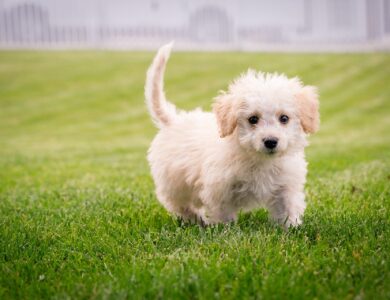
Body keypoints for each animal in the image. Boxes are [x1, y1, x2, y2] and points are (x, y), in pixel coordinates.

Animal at [145, 42, 318, 227]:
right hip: (174, 183)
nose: (271, 141)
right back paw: (197, 219)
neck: (259, 159)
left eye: (284, 118)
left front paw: (291, 228)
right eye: (253, 119)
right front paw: (225, 230)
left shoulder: (285, 187)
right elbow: (224, 216)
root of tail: (174, 119)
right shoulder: (219, 190)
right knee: (178, 203)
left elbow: (288, 209)